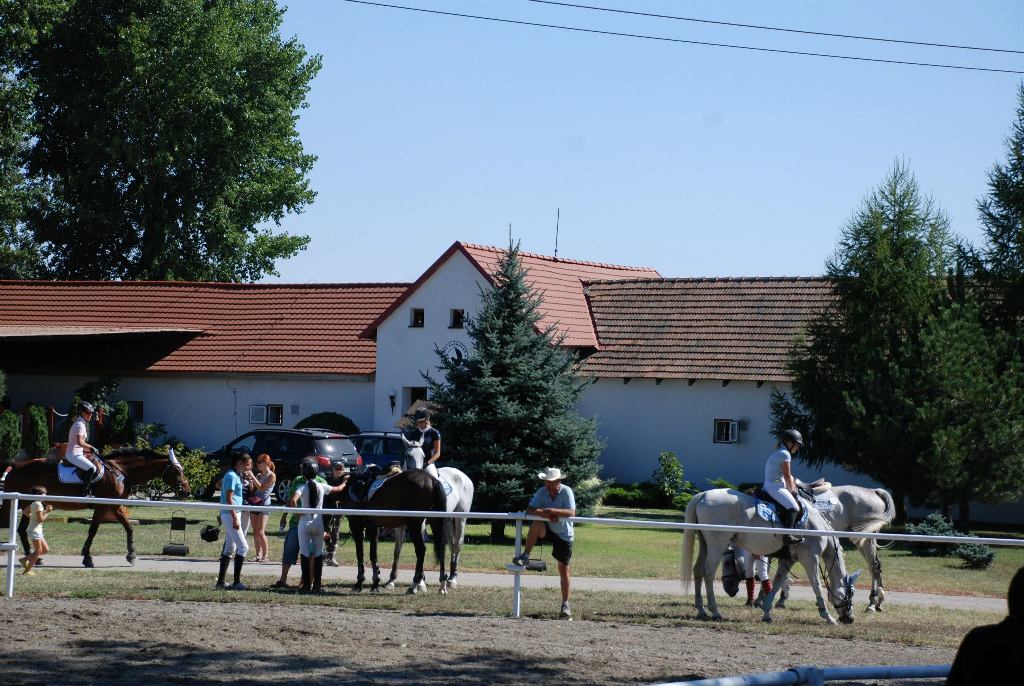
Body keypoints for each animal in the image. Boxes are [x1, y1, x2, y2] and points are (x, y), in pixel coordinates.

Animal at [1, 447, 190, 567]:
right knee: (19, 527)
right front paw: (87, 558)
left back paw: (34, 558)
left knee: (22, 530)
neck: (119, 471)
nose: (187, 491)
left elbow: (129, 527)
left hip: (29, 505)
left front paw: (131, 554)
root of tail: (16, 466)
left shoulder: (115, 506)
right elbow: (93, 530)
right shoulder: (102, 506)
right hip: (18, 503)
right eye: (177, 471)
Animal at [383, 434, 474, 594]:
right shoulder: (401, 525)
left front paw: (420, 583)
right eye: (408, 455)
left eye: (423, 456)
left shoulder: (420, 523)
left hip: (460, 517)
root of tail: (463, 476)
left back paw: (452, 578)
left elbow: (420, 548)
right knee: (450, 543)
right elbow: (397, 549)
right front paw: (391, 580)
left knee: (458, 543)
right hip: (446, 520)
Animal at [682, 488, 860, 625]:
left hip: (705, 544)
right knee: (708, 573)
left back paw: (701, 610)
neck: (816, 527)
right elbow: (817, 586)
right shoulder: (810, 559)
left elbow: (776, 584)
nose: (849, 618)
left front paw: (766, 613)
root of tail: (704, 495)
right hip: (717, 545)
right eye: (851, 593)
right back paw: (715, 611)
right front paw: (828, 617)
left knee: (698, 570)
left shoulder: (788, 560)